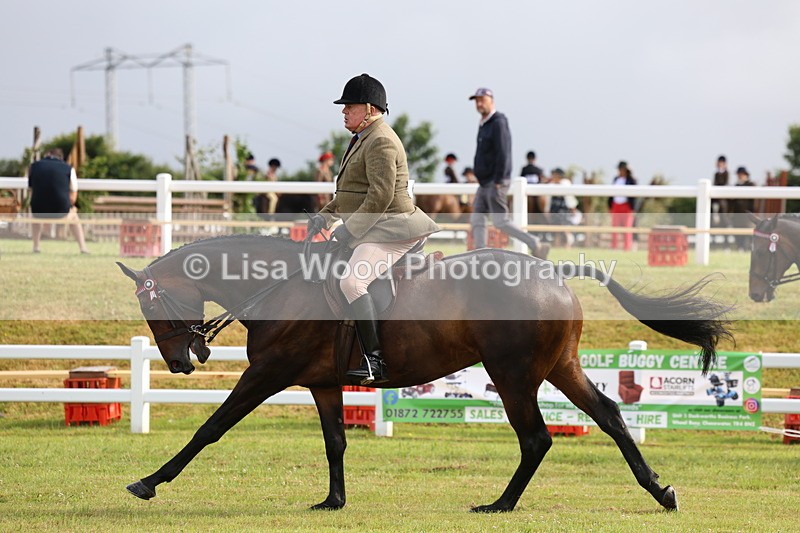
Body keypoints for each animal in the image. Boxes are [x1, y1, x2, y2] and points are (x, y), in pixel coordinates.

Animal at [117, 234, 732, 512]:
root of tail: (552, 271)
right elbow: (336, 441)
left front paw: (148, 481)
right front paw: (334, 501)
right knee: (608, 415)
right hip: (559, 367)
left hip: (513, 375)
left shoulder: (268, 373)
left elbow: (210, 428)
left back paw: (500, 505)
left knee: (536, 437)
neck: (278, 288)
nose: (181, 361)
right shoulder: (322, 382)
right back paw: (660, 490)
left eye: (154, 306)